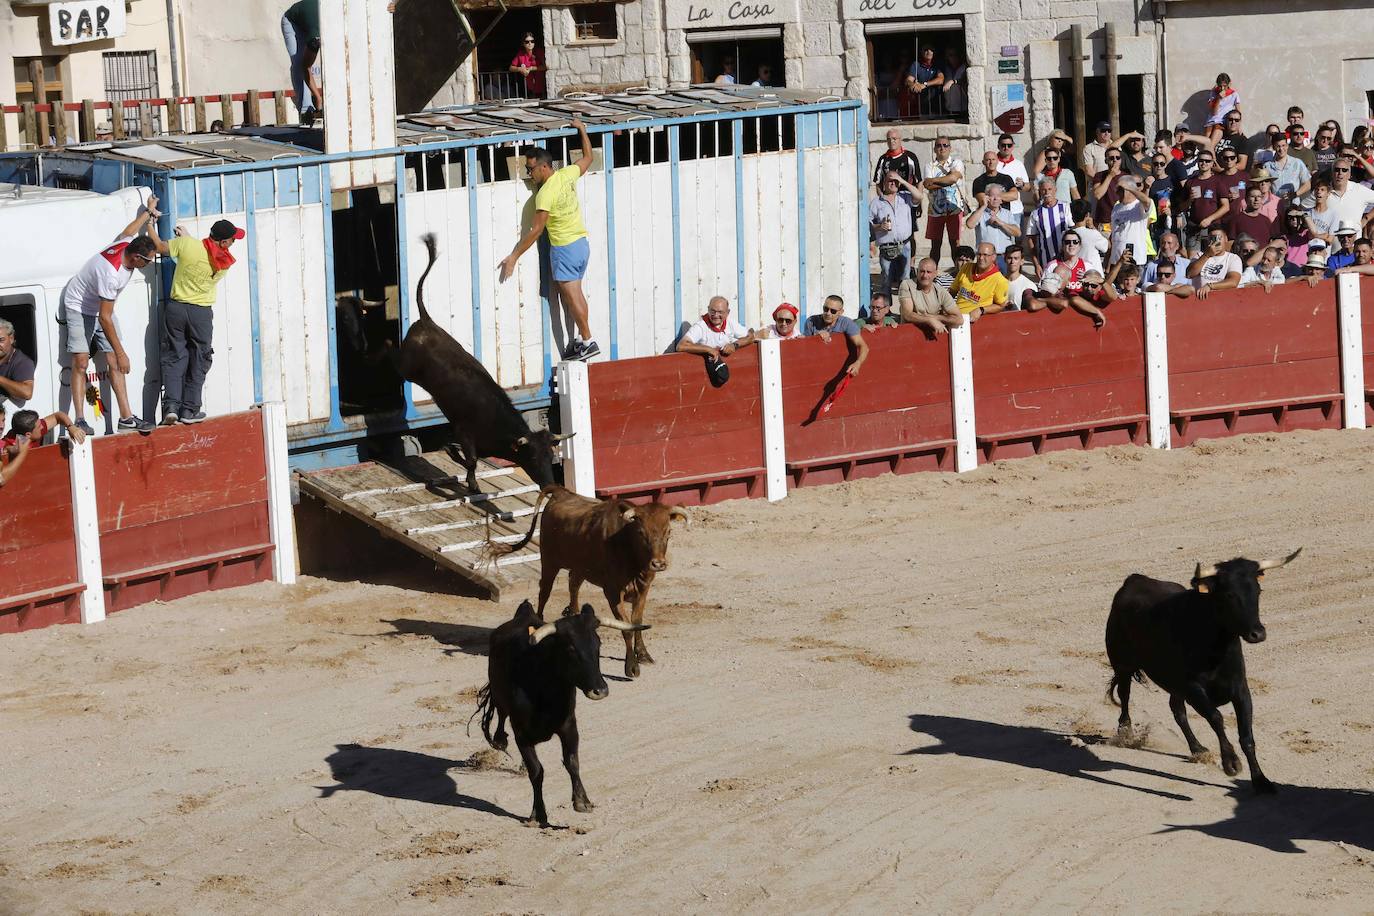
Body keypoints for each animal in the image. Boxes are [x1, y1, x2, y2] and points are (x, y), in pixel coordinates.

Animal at [491, 486, 687, 681]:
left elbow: (637, 622)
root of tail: (561, 492)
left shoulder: (644, 588)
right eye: (641, 532)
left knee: (573, 584)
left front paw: (644, 655)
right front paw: (631, 666)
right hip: (549, 561)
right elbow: (626, 627)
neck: (628, 549)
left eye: (668, 532)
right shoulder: (612, 592)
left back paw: (574, 615)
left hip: (580, 567)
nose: (658, 564)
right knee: (544, 592)